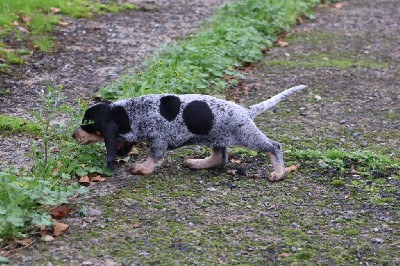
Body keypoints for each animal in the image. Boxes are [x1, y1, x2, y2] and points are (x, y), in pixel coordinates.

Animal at [73, 85, 304, 181]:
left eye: (86, 125)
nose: (74, 135)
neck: (127, 113)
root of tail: (246, 111)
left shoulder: (158, 141)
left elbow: (152, 158)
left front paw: (142, 169)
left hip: (248, 137)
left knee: (274, 147)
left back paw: (279, 173)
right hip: (217, 138)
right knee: (219, 159)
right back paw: (196, 163)